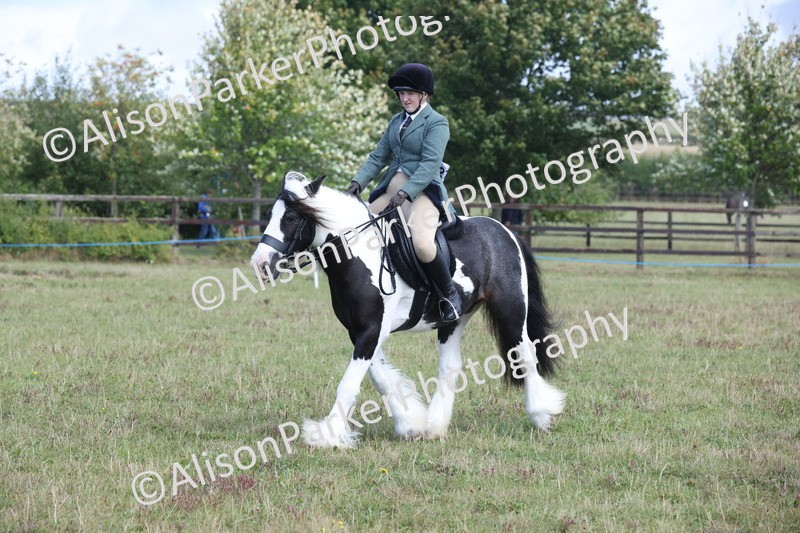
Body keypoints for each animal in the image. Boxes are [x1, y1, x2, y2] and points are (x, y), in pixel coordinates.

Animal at [250, 171, 565, 448]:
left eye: (291, 217)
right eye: (270, 215)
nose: (260, 263)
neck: (360, 255)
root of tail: (503, 230)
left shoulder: (372, 330)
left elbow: (349, 383)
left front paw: (327, 435)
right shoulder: (361, 332)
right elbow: (380, 378)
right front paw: (410, 423)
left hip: (511, 309)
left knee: (524, 354)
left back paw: (542, 415)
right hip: (454, 320)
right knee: (450, 365)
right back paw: (435, 427)